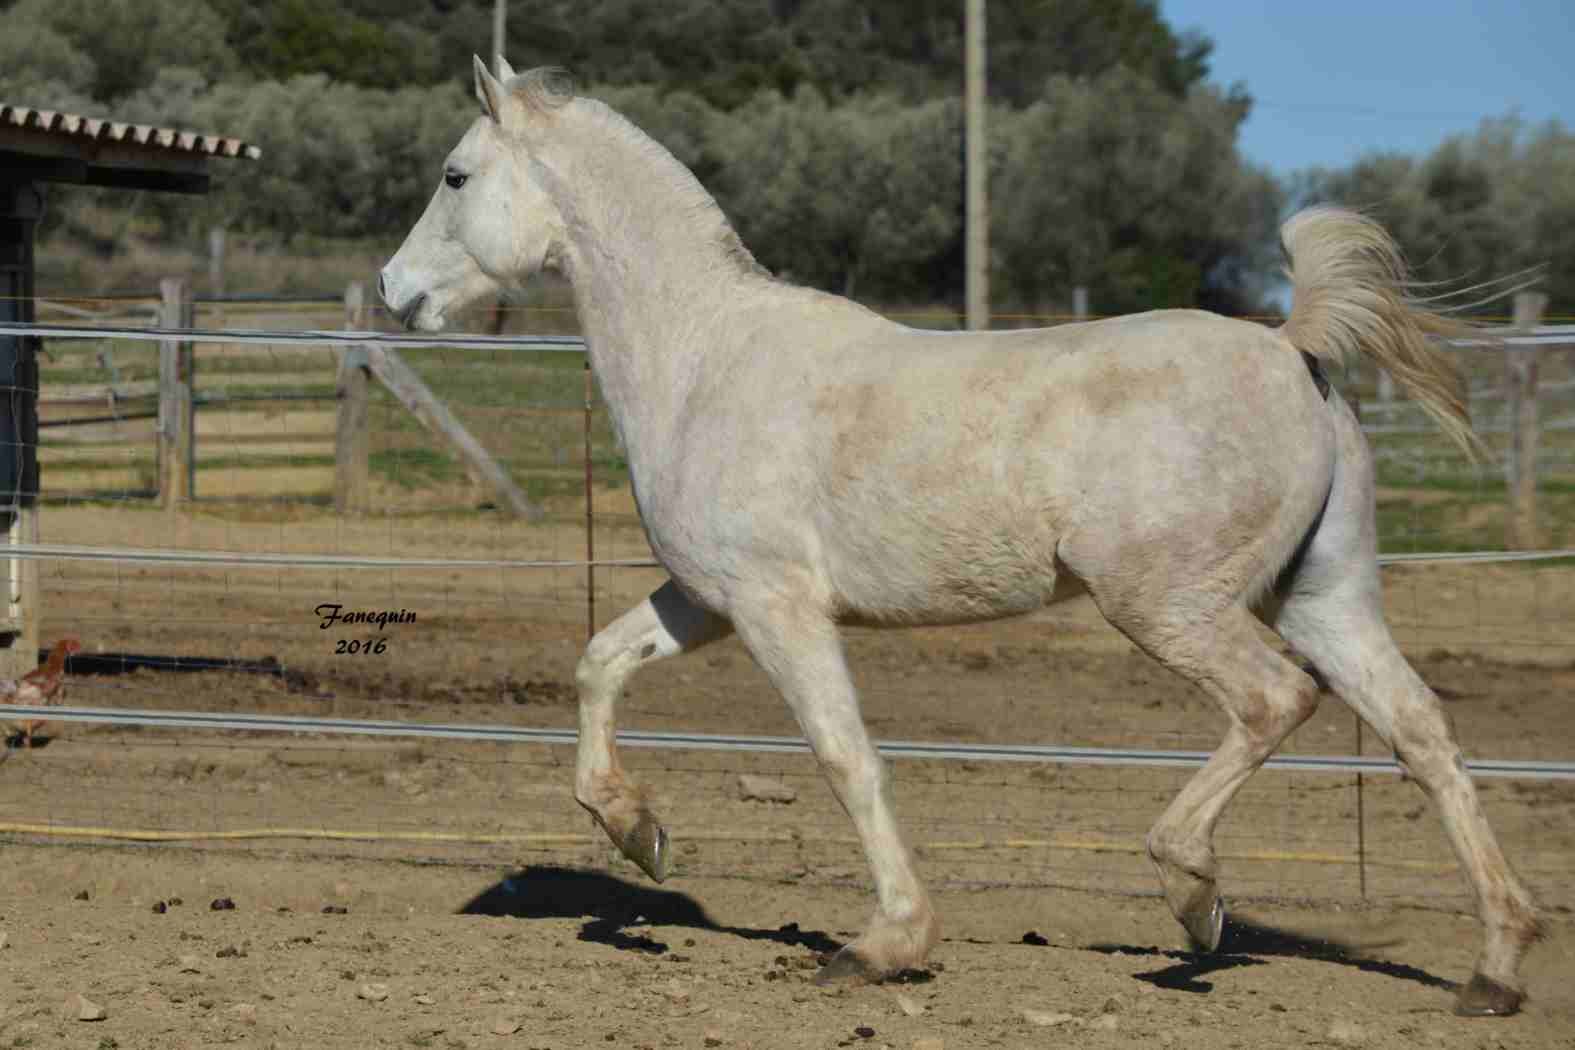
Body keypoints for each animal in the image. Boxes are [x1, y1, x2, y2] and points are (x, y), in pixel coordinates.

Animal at [381, 59, 1537, 1020]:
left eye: (453, 175)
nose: (395, 292)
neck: (704, 356)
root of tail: (1294, 352)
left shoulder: (776, 606)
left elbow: (845, 757)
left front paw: (884, 944)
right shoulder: (708, 599)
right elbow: (598, 665)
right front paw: (639, 834)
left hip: (1171, 606)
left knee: (1275, 702)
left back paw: (1192, 891)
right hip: (1324, 596)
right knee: (1421, 734)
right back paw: (1494, 968)